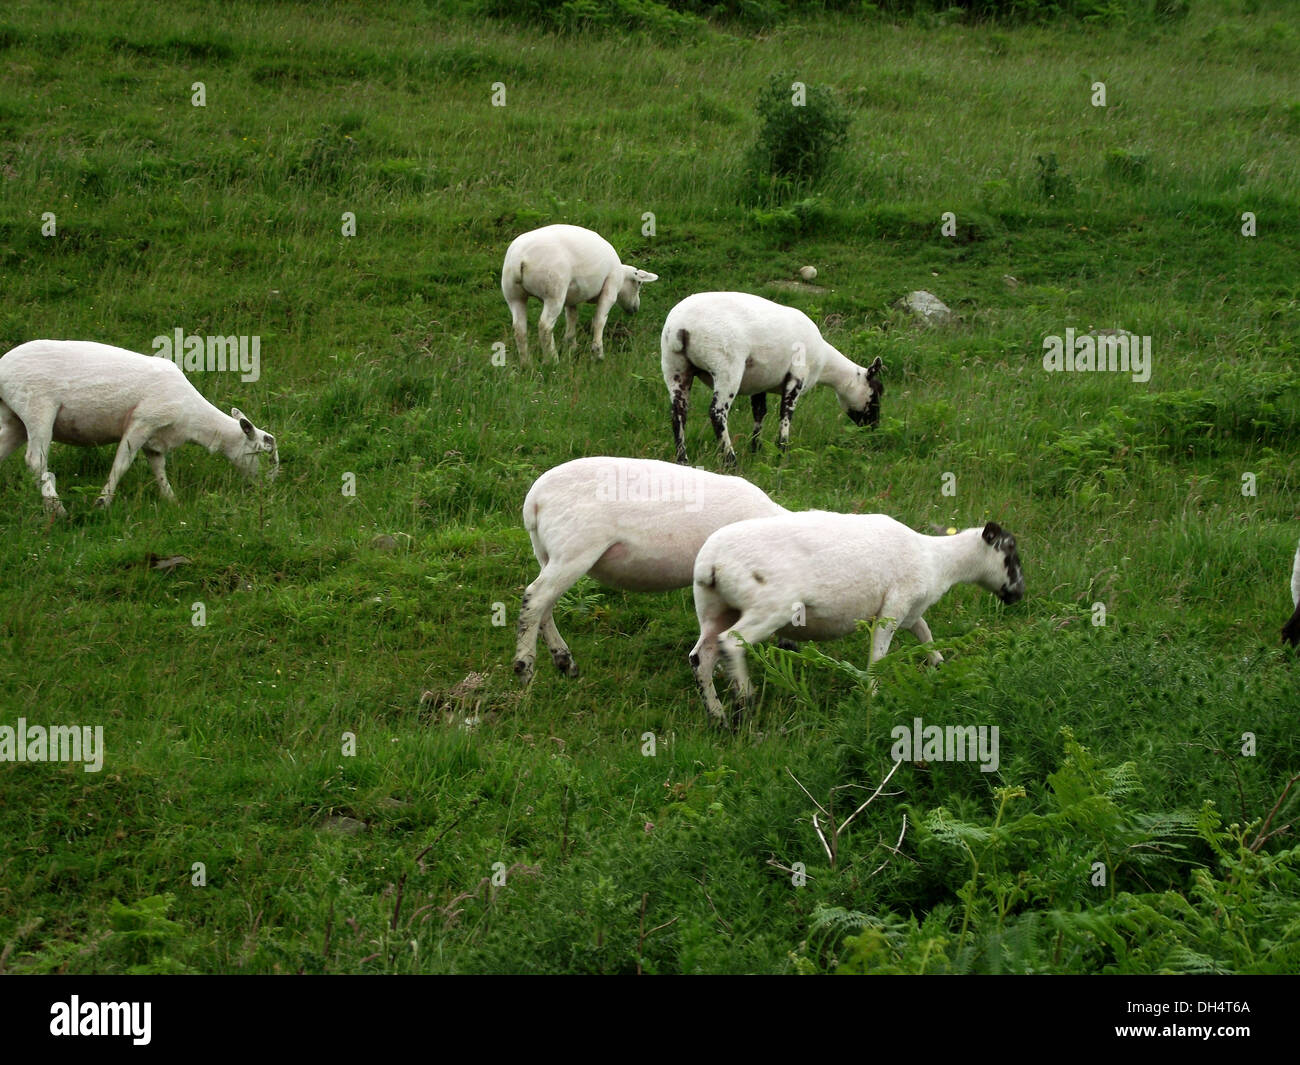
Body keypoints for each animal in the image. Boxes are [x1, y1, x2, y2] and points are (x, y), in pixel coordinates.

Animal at [499, 224, 660, 361]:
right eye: (639, 283)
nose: (636, 308)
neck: (621, 275)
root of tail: (519, 258)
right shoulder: (610, 288)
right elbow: (599, 321)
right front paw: (598, 354)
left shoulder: (571, 299)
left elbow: (572, 318)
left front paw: (571, 346)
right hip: (554, 292)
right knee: (545, 326)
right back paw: (552, 360)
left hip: (513, 295)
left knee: (519, 329)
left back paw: (526, 363)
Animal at [514, 457, 780, 681]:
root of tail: (535, 500)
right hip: (575, 549)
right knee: (536, 598)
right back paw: (524, 667)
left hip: (548, 553)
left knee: (545, 607)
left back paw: (564, 661)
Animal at [660, 295, 883, 470]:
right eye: (877, 392)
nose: (873, 428)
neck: (825, 363)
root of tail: (680, 328)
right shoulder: (797, 376)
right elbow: (785, 415)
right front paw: (782, 452)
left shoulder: (760, 383)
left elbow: (760, 412)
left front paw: (756, 448)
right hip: (726, 365)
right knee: (717, 412)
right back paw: (731, 461)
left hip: (674, 366)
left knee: (678, 413)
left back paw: (683, 460)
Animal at [691, 512, 1024, 728]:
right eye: (1010, 554)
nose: (1019, 594)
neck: (937, 560)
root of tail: (711, 563)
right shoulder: (894, 607)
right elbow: (879, 655)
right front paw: (873, 696)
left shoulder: (910, 610)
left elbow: (925, 632)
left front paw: (939, 663)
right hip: (770, 606)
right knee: (730, 644)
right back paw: (745, 698)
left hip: (714, 608)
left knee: (701, 657)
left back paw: (717, 714)